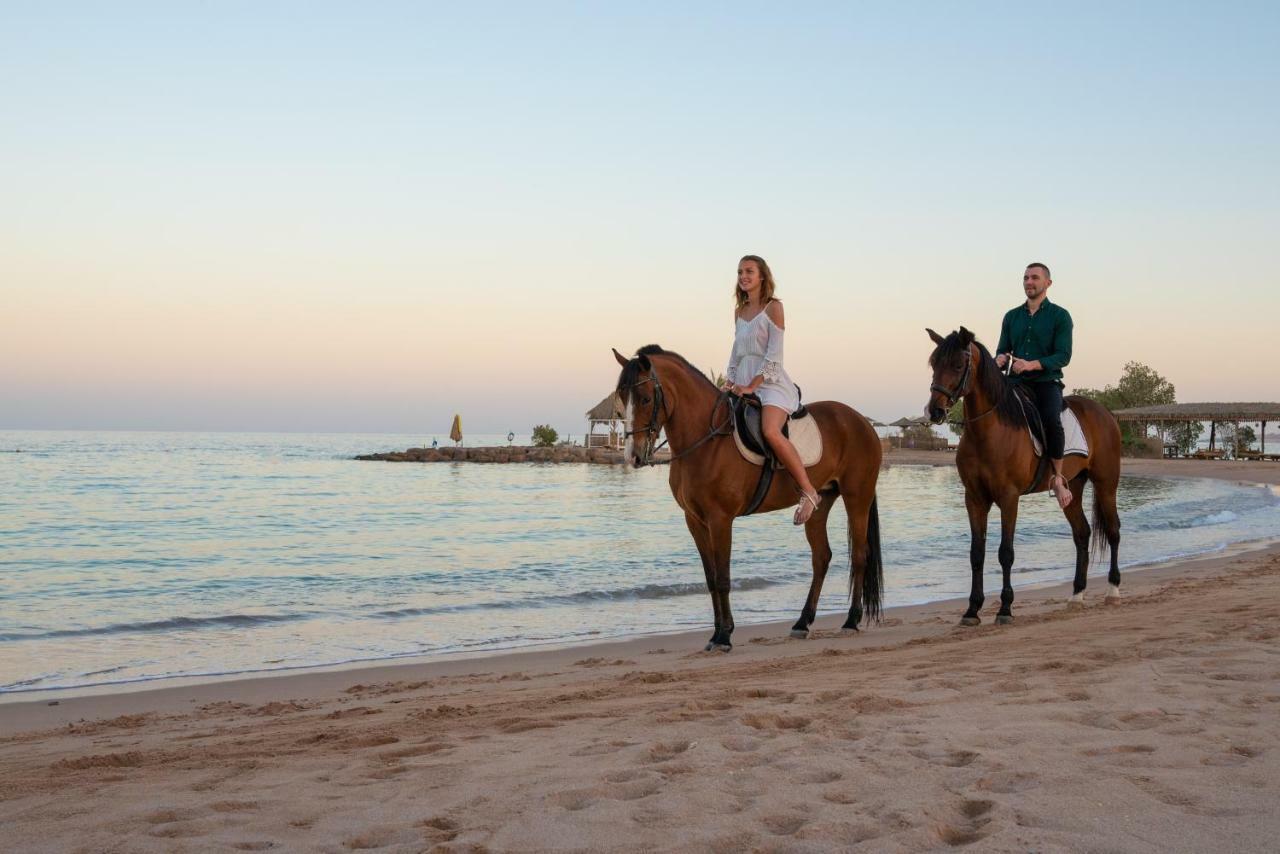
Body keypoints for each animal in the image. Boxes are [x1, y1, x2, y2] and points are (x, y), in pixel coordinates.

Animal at [614, 343, 885, 650]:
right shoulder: (694, 520)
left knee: (860, 555)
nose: (633, 456)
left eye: (646, 399)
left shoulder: (720, 519)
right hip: (820, 502)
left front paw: (724, 636)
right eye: (622, 398)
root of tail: (861, 421)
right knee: (821, 557)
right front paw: (716, 633)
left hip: (857, 497)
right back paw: (802, 622)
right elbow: (710, 578)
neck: (707, 439)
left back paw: (851, 620)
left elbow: (722, 577)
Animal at [926, 330, 1126, 624]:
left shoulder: (1009, 498)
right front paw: (972, 610)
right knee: (1082, 534)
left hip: (1106, 484)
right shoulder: (974, 499)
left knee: (1113, 531)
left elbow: (1005, 553)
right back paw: (1077, 595)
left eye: (958, 365)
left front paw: (1005, 608)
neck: (989, 431)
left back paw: (1113, 590)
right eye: (934, 364)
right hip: (1073, 488)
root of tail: (1105, 413)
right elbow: (977, 554)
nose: (934, 411)